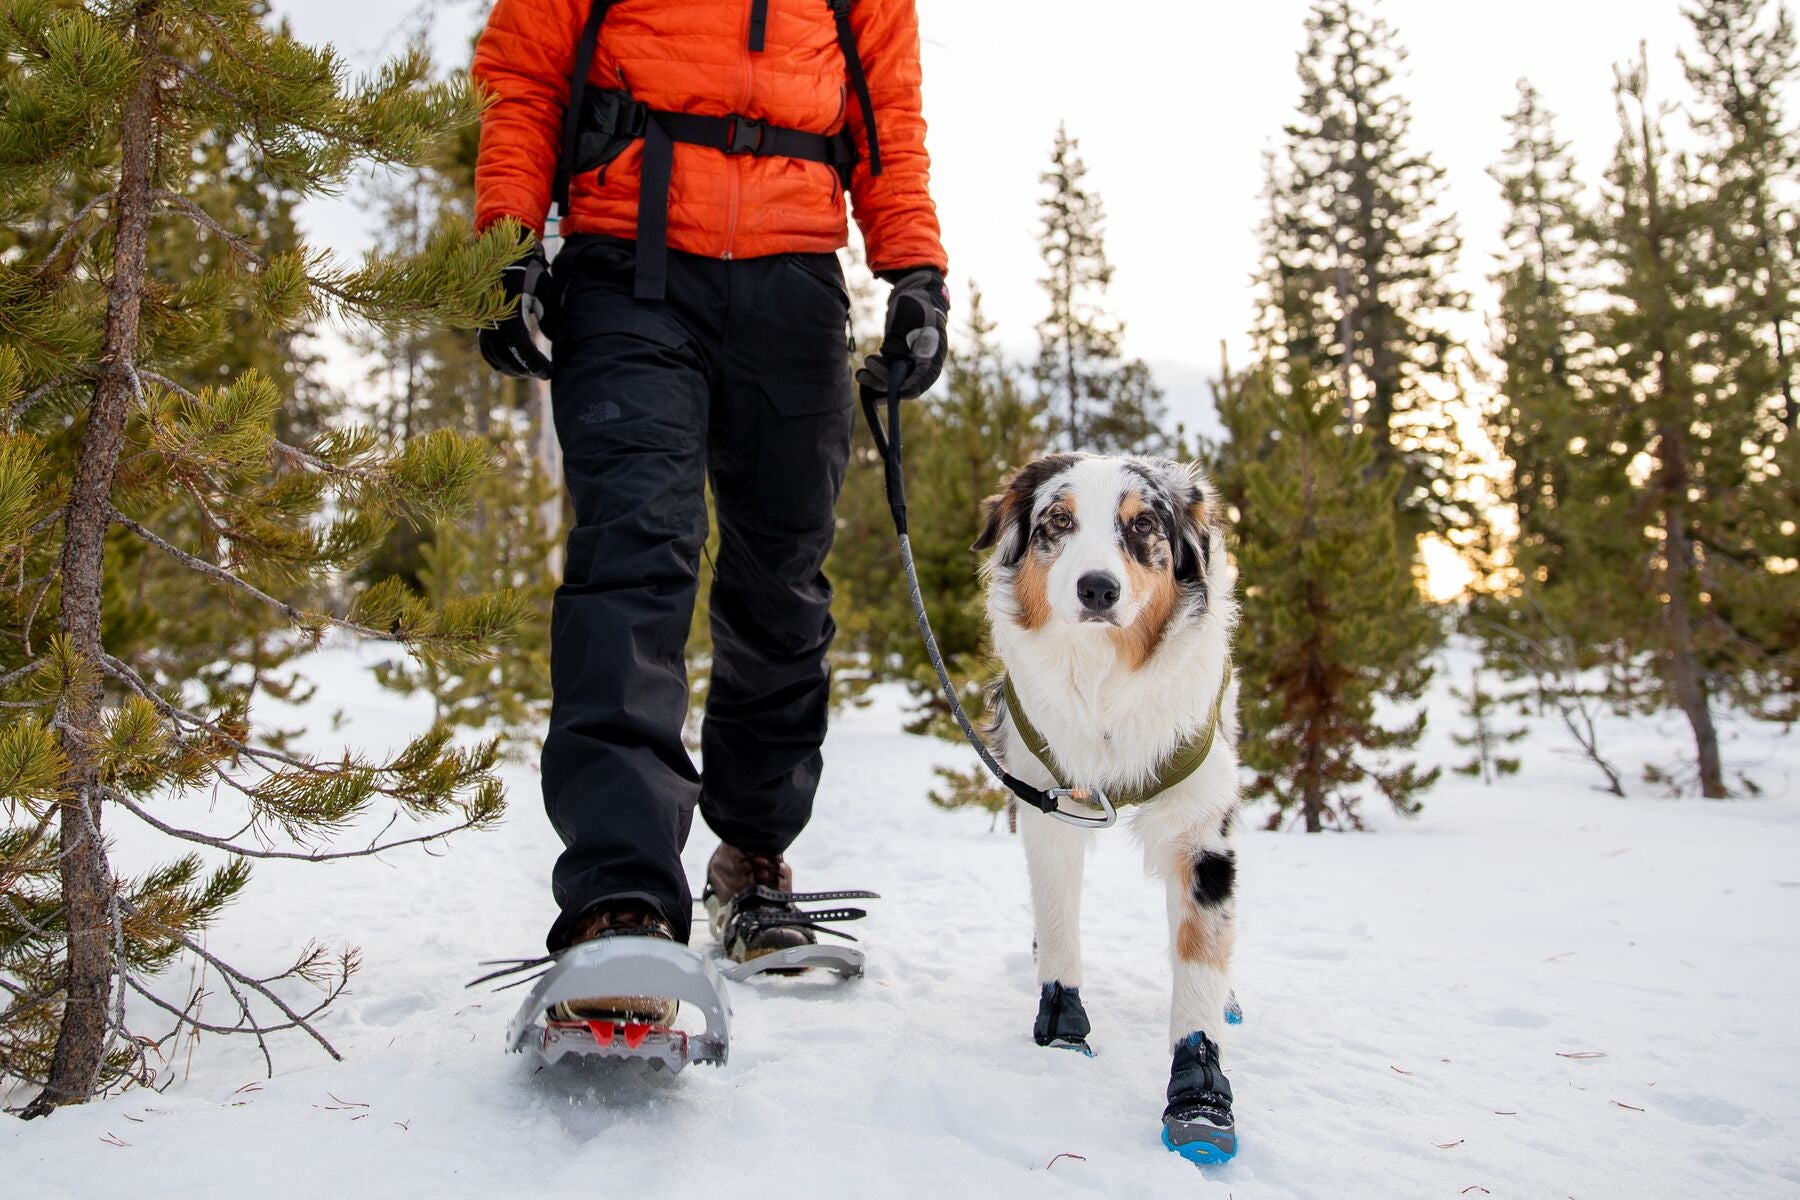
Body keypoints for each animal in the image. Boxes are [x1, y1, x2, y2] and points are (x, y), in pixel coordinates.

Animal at [979, 449, 1245, 1165]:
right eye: (1059, 521)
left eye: (1143, 524)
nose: (1097, 589)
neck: (1104, 684)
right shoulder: (1049, 806)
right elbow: (1060, 928)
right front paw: (1063, 1027)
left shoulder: (1200, 836)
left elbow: (1198, 964)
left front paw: (1200, 1098)